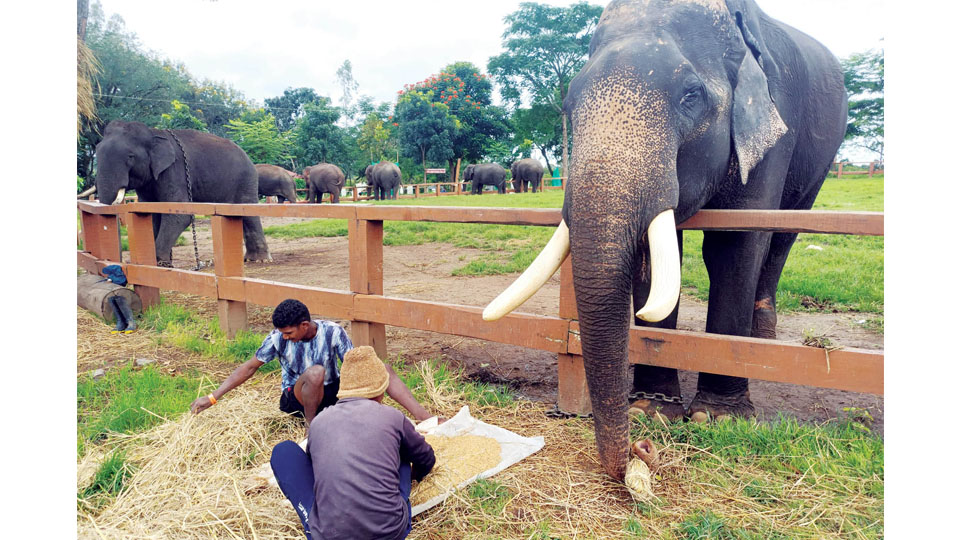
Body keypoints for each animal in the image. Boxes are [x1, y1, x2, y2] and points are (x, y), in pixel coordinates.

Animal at [94, 121, 272, 266]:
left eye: (130, 156)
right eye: (96, 153)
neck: (153, 133)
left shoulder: (174, 171)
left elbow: (180, 215)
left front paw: (159, 263)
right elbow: (152, 214)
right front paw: (162, 262)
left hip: (245, 180)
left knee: (248, 212)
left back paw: (259, 260)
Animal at [484, 0, 844, 480]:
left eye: (691, 95)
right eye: (568, 101)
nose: (640, 450)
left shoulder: (774, 121)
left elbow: (733, 245)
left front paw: (718, 418)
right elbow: (653, 254)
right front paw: (652, 412)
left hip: (819, 160)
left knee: (782, 236)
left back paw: (762, 340)